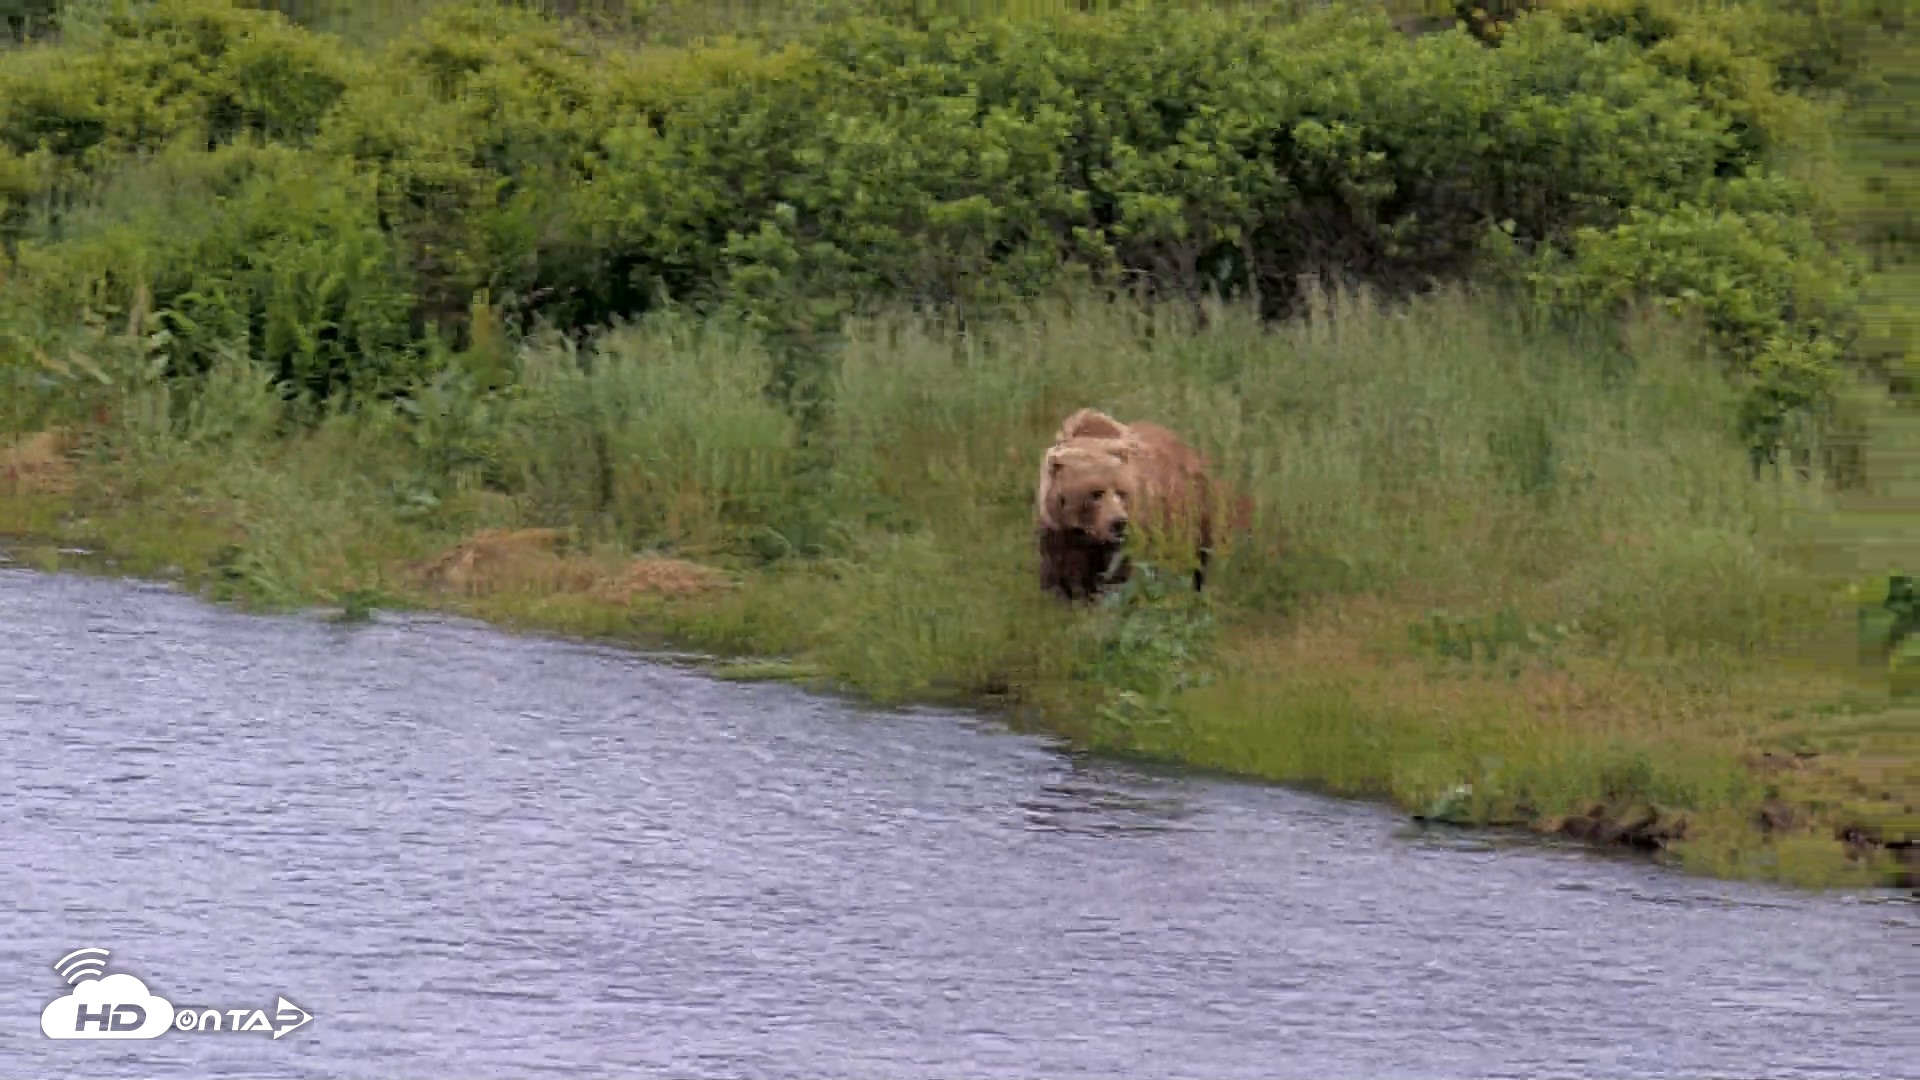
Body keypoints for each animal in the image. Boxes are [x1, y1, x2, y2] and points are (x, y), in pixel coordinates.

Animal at [1034, 407, 1217, 602]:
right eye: (1096, 493)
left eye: (1122, 492)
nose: (1118, 522)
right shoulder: (1060, 533)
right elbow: (1060, 577)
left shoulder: (1128, 539)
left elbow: (1117, 578)